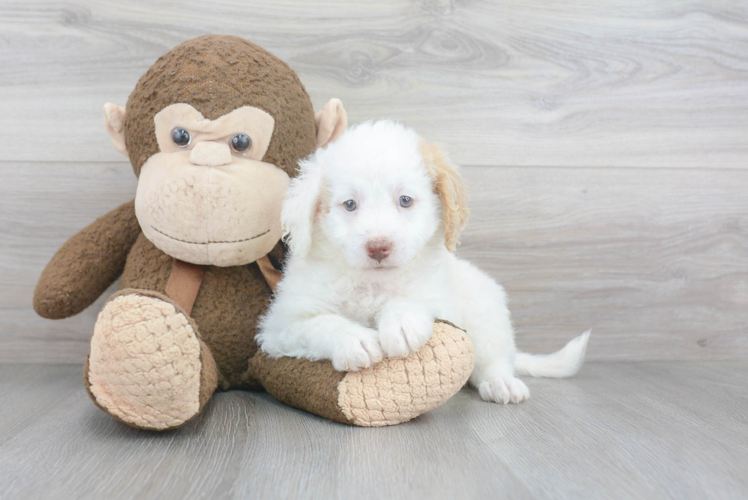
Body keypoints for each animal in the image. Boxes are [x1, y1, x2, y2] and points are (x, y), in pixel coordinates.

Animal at [258, 120, 592, 402]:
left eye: (405, 200)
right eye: (350, 204)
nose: (378, 247)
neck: (372, 281)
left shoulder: (440, 298)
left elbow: (414, 299)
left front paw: (401, 322)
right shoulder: (279, 327)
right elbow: (319, 323)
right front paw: (354, 339)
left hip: (486, 311)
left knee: (493, 359)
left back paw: (501, 383)